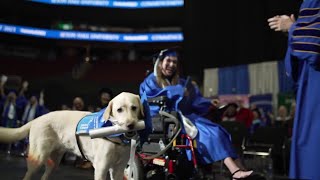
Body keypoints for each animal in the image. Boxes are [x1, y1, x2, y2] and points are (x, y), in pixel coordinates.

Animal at [0, 92, 144, 179]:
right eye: (119, 110)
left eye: (134, 107)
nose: (130, 125)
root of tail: (36, 119)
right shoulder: (101, 168)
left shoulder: (118, 170)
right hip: (37, 159)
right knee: (28, 175)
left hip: (53, 163)